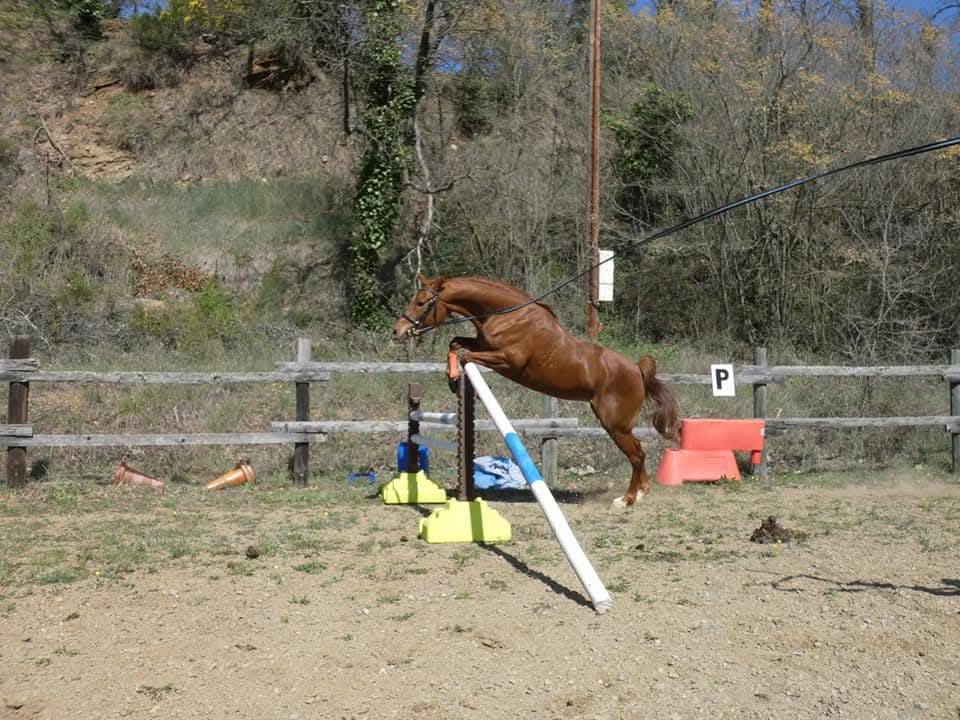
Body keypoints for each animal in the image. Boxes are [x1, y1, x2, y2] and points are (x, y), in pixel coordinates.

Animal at [392, 274, 680, 507]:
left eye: (421, 302)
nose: (397, 332)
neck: (505, 314)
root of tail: (637, 369)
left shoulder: (506, 360)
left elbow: (464, 354)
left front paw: (454, 377)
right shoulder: (482, 344)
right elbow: (455, 343)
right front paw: (452, 377)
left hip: (615, 424)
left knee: (637, 455)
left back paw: (627, 500)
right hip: (617, 425)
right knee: (638, 453)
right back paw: (641, 493)